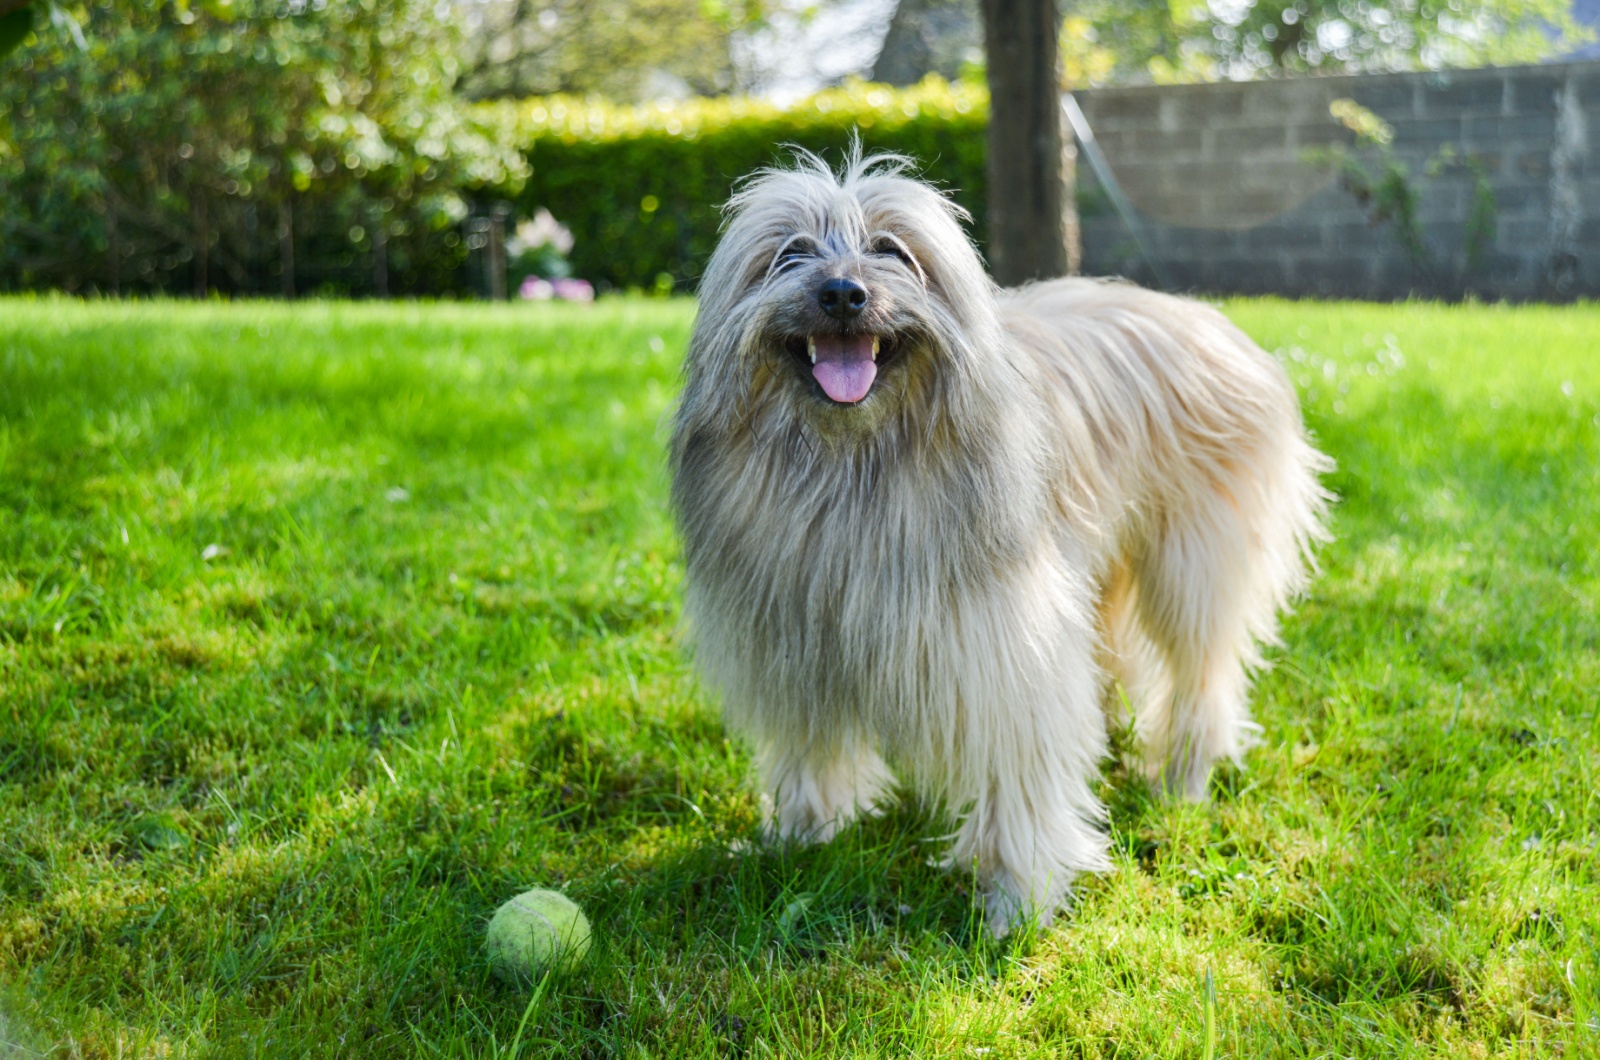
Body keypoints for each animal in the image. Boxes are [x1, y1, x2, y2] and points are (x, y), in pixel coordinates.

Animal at [668, 149, 1331, 941]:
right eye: (790, 253)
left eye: (892, 250)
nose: (843, 294)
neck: (854, 463)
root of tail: (1209, 319)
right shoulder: (795, 640)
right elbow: (812, 750)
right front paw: (801, 840)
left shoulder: (1005, 647)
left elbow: (1021, 765)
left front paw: (1020, 899)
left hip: (1193, 568)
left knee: (1201, 676)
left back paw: (1183, 778)